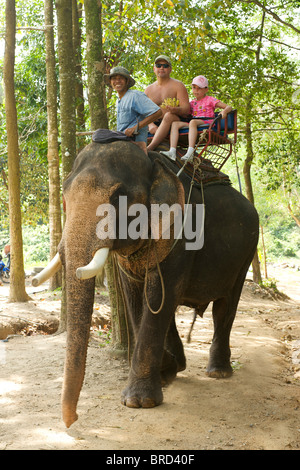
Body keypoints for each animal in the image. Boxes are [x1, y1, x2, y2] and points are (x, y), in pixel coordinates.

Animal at [32, 138, 258, 428]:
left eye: (118, 197)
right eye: (64, 194)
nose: (72, 422)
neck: (153, 162)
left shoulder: (182, 231)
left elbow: (159, 294)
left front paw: (139, 402)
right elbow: (136, 296)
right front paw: (167, 371)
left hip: (246, 252)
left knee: (224, 307)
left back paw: (218, 373)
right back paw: (181, 365)